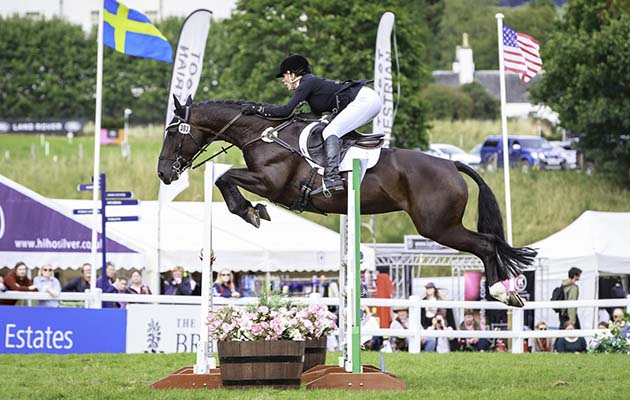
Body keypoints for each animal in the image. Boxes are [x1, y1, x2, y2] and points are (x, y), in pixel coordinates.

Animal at [159, 96, 540, 306]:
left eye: (172, 134)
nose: (163, 173)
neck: (262, 134)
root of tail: (451, 164)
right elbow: (225, 179)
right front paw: (252, 211)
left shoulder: (272, 184)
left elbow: (225, 178)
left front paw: (250, 211)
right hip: (441, 226)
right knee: (488, 244)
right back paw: (508, 294)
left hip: (439, 227)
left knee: (487, 244)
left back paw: (502, 293)